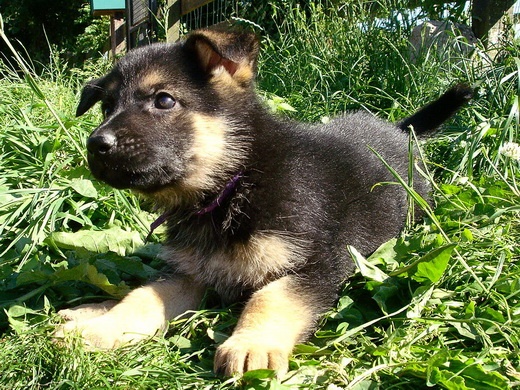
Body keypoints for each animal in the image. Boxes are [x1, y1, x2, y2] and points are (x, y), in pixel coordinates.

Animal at [60, 28, 472, 378]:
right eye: (106, 106)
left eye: (163, 100)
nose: (95, 145)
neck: (232, 184)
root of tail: (399, 129)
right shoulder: (192, 274)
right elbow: (142, 296)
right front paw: (102, 327)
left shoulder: (318, 264)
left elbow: (271, 297)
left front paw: (251, 344)